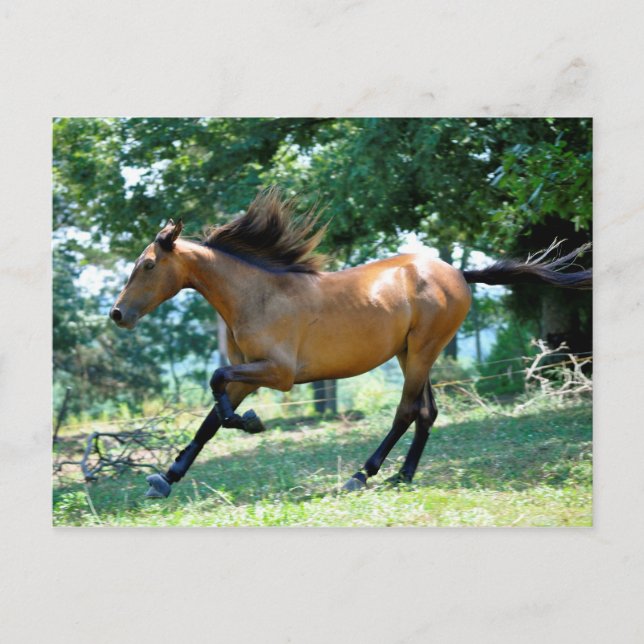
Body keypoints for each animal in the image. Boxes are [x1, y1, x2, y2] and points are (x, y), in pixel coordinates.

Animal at [110, 189, 592, 498]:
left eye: (148, 265)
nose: (117, 314)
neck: (257, 295)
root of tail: (458, 273)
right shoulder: (249, 374)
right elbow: (209, 419)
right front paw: (166, 478)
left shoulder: (278, 374)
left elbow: (215, 384)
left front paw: (249, 422)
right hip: (413, 354)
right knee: (427, 412)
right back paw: (402, 477)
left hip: (422, 352)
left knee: (406, 412)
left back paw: (363, 475)